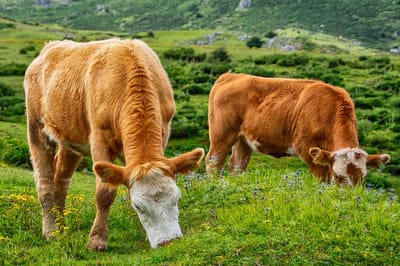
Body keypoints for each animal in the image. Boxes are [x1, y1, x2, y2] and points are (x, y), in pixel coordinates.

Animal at [25, 38, 205, 250]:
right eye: (138, 206)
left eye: (177, 198)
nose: (168, 241)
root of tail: (50, 47)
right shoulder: (99, 140)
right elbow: (105, 193)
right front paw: (97, 240)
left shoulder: (163, 132)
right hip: (36, 126)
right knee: (44, 183)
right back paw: (51, 231)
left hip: (71, 138)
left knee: (60, 181)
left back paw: (62, 228)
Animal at [206, 72, 390, 185]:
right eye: (338, 177)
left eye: (363, 178)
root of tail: (231, 76)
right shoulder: (307, 148)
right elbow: (322, 179)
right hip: (222, 134)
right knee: (214, 162)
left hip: (243, 139)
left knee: (237, 165)